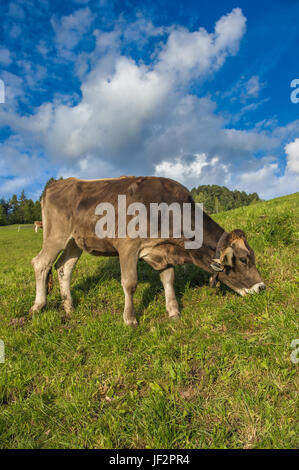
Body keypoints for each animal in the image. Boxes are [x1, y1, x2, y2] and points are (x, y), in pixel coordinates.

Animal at [29, 174, 266, 324]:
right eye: (243, 259)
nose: (262, 287)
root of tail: (57, 184)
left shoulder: (162, 251)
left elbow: (168, 279)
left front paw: (173, 312)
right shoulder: (127, 246)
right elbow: (130, 283)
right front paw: (130, 319)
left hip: (74, 242)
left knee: (63, 268)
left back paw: (69, 307)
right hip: (55, 236)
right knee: (41, 263)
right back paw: (38, 306)